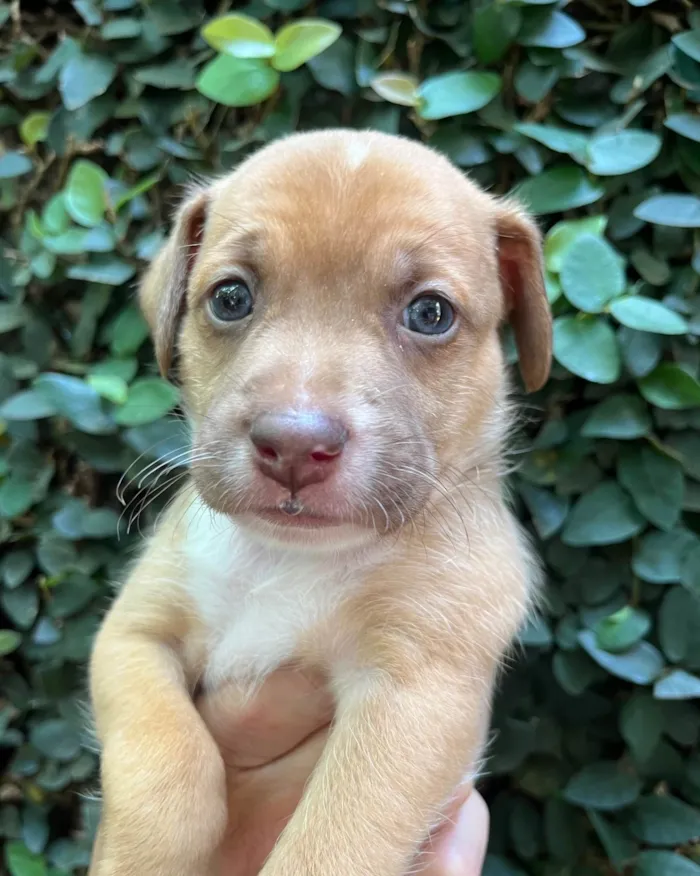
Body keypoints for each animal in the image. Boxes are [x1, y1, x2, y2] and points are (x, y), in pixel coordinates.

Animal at [87, 130, 548, 876]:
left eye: (430, 313)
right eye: (231, 298)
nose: (294, 446)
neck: (291, 558)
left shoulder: (415, 690)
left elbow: (336, 838)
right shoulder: (132, 636)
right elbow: (165, 763)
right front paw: (144, 855)